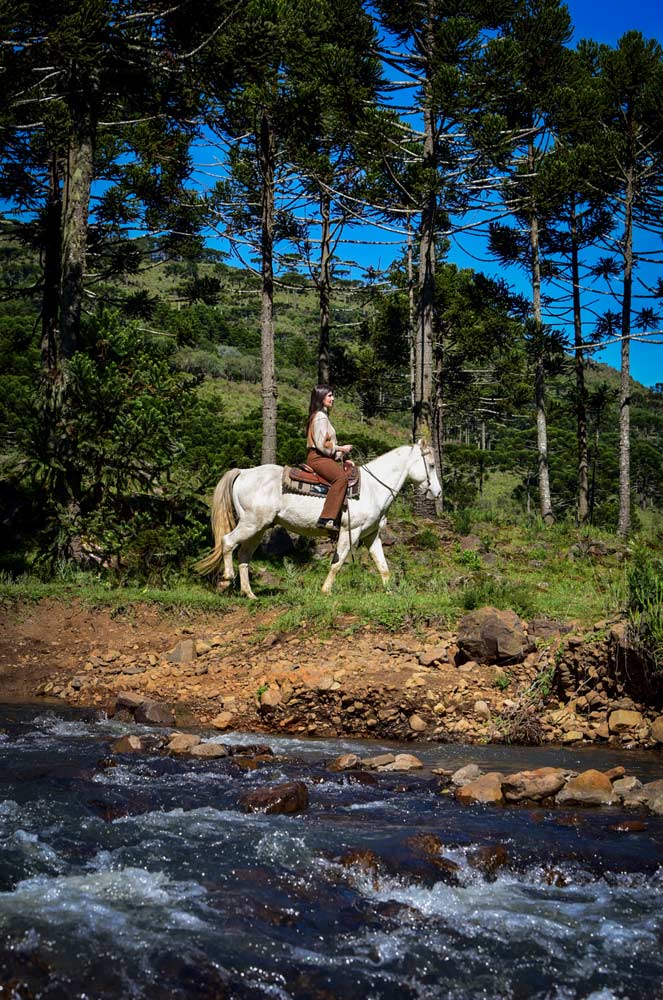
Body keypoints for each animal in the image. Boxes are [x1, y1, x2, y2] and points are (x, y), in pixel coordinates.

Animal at [196, 442, 440, 596]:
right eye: (431, 465)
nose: (437, 493)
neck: (372, 488)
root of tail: (244, 472)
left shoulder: (371, 535)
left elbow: (383, 566)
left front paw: (391, 594)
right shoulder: (351, 531)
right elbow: (337, 562)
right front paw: (326, 591)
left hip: (259, 528)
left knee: (244, 555)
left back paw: (249, 594)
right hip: (251, 524)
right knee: (227, 542)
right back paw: (226, 580)